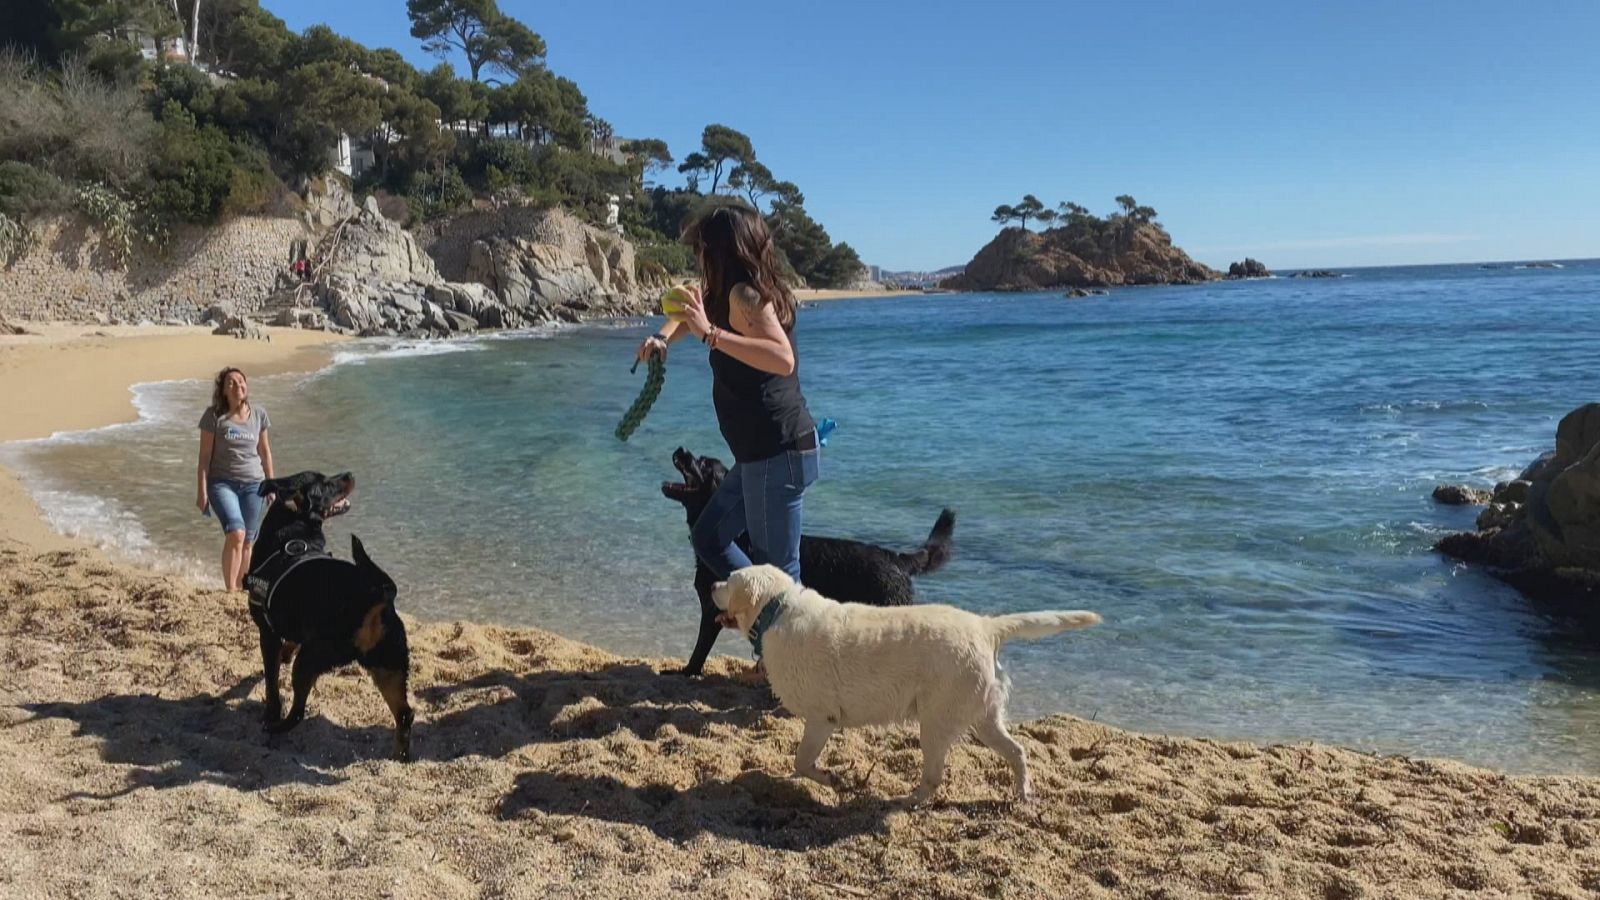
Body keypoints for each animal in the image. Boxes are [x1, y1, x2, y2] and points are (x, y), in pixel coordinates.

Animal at [246, 470, 412, 755]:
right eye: (325, 484)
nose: (350, 473)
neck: (292, 532)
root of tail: (376, 596)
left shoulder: (267, 633)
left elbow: (271, 683)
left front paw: (271, 712)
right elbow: (288, 646)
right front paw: (285, 655)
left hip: (312, 658)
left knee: (298, 711)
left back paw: (276, 728)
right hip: (389, 665)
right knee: (405, 714)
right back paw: (399, 756)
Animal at [659, 445, 953, 669]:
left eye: (702, 464)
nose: (681, 449)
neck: (735, 538)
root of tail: (896, 557)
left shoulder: (711, 612)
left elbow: (698, 652)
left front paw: (685, 673)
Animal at [713, 563, 1100, 800]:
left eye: (728, 580)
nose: (710, 582)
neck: (777, 609)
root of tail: (985, 626)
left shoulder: (822, 717)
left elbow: (802, 761)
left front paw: (829, 779)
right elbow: (800, 764)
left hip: (937, 720)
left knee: (934, 776)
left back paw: (908, 799)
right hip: (983, 717)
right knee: (1017, 751)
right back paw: (1023, 794)